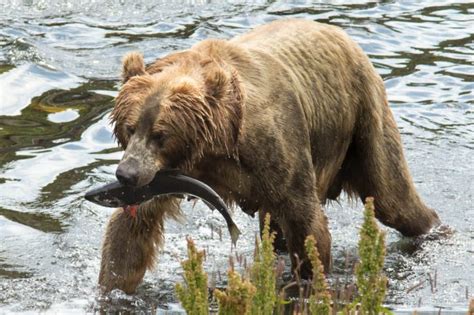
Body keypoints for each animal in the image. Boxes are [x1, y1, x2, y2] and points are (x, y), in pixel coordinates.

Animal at [97, 18, 440, 296]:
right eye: (130, 127)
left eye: (161, 134)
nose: (126, 174)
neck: (214, 144)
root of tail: (340, 33)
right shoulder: (169, 175)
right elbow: (130, 231)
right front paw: (113, 288)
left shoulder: (273, 148)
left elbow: (306, 224)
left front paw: (308, 284)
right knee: (275, 230)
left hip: (363, 118)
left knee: (393, 198)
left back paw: (432, 228)